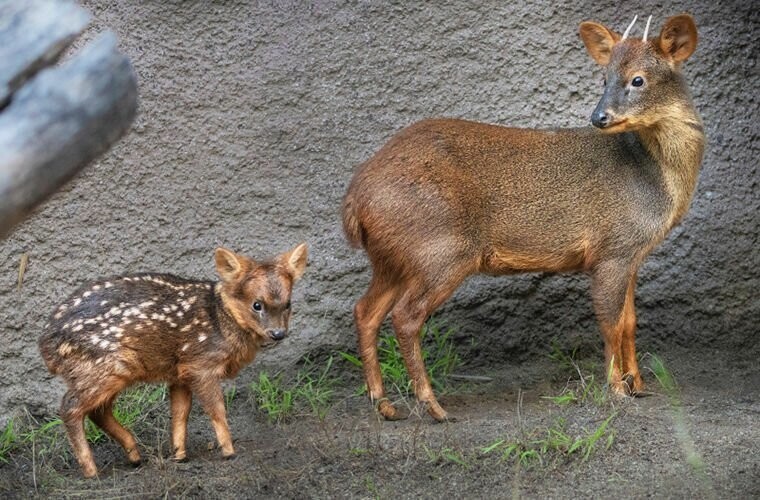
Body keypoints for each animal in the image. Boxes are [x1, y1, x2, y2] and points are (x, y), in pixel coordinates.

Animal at [37, 244, 306, 478]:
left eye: (288, 304)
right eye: (256, 304)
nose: (278, 333)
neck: (221, 319)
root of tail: (45, 346)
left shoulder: (181, 371)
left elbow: (179, 413)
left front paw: (179, 456)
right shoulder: (202, 364)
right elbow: (216, 409)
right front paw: (229, 451)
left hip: (106, 371)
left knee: (98, 411)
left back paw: (135, 456)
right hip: (102, 367)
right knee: (70, 407)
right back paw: (92, 472)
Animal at [342, 15, 704, 420]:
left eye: (638, 79)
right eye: (604, 77)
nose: (599, 117)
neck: (657, 180)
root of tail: (355, 199)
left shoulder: (632, 256)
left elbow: (629, 322)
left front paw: (638, 385)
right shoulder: (612, 249)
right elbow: (610, 323)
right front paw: (617, 390)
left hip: (393, 257)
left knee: (365, 311)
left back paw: (384, 403)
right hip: (440, 250)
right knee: (405, 318)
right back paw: (432, 406)